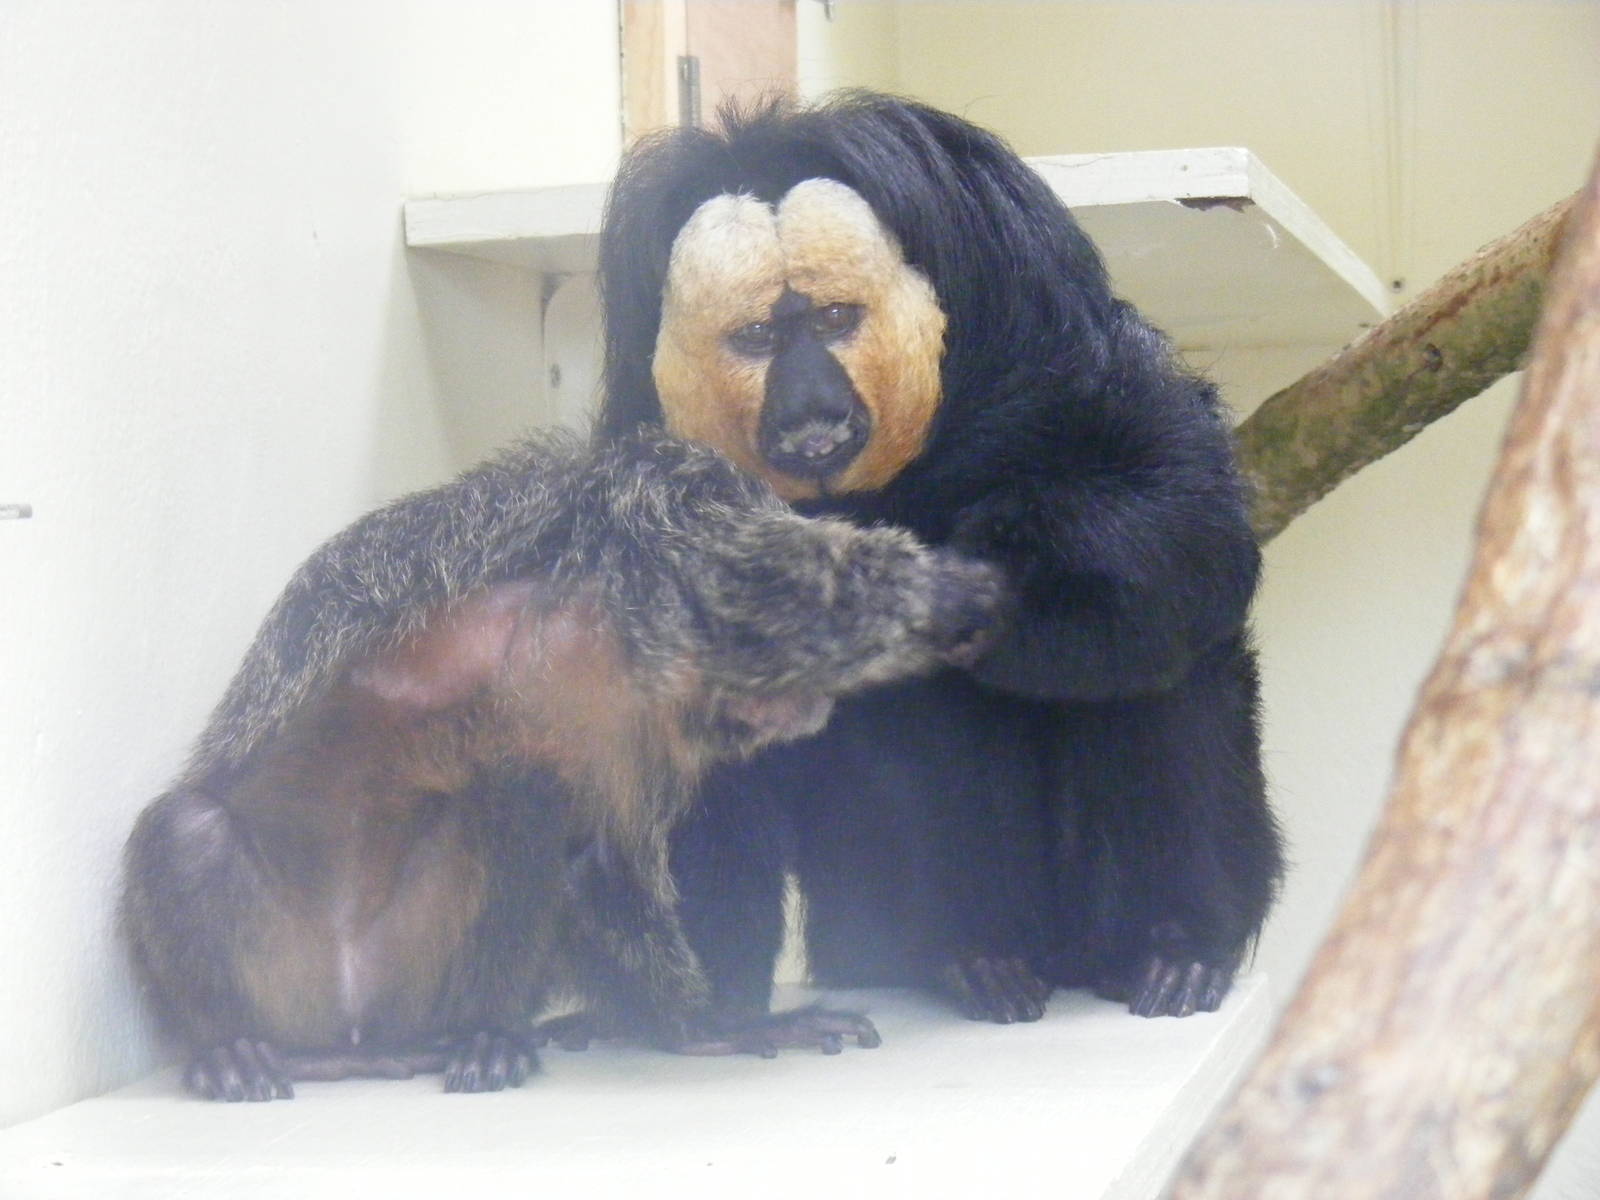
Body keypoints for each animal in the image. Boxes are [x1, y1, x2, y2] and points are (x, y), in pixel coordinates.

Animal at [120, 428, 1002, 1101]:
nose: (809, 707)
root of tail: (356, 1021)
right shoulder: (667, 533)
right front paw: (956, 596)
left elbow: (595, 860)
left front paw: (708, 1026)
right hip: (291, 984)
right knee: (184, 830)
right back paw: (245, 1050)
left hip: (410, 980)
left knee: (512, 807)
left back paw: (481, 1034)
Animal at [596, 92, 1283, 1027]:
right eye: (759, 336)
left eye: (833, 321)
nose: (809, 406)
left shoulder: (1058, 328)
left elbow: (1183, 518)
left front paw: (976, 578)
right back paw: (965, 958)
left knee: (1160, 653)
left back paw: (1170, 948)